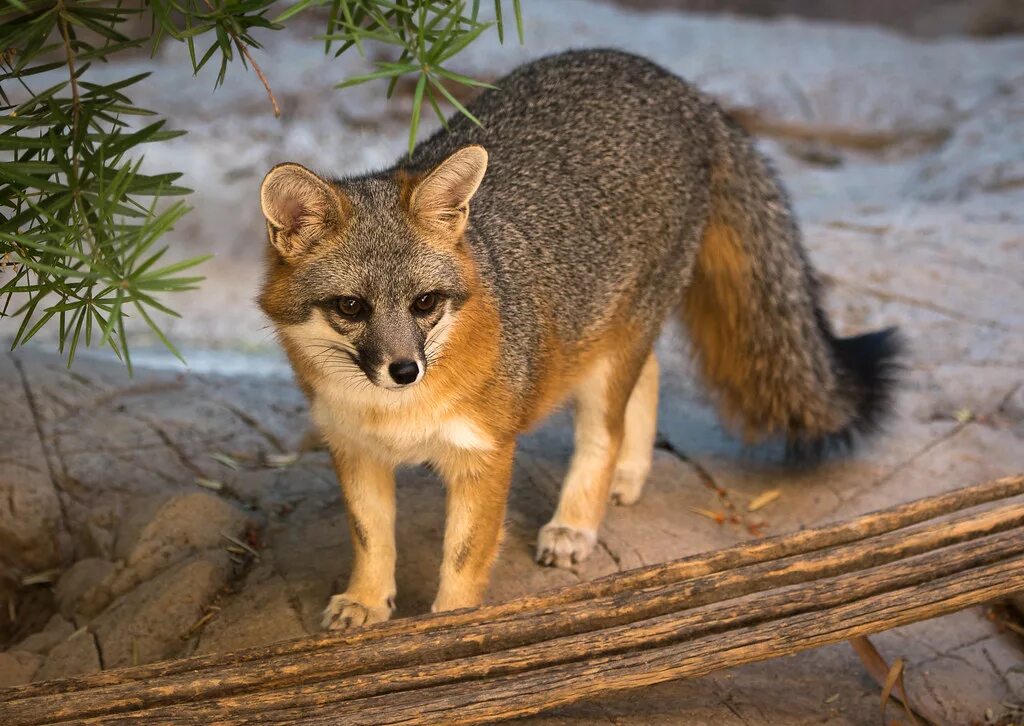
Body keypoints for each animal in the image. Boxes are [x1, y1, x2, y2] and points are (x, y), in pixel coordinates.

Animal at [260, 49, 901, 626]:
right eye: (351, 307)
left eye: (425, 304)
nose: (404, 370)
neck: (393, 415)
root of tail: (681, 88)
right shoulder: (355, 450)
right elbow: (372, 539)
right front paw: (367, 601)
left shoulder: (485, 455)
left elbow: (463, 558)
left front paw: (450, 628)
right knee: (651, 373)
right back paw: (630, 474)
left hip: (613, 353)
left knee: (606, 429)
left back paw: (578, 518)